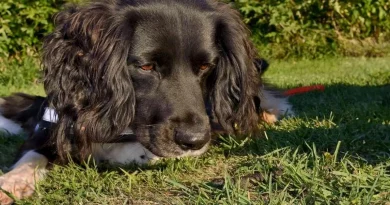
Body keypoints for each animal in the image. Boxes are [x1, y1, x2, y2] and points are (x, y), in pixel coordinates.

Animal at [0, 0, 292, 203]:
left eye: (206, 66)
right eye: (147, 67)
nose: (194, 140)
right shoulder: (53, 123)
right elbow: (32, 153)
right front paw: (13, 181)